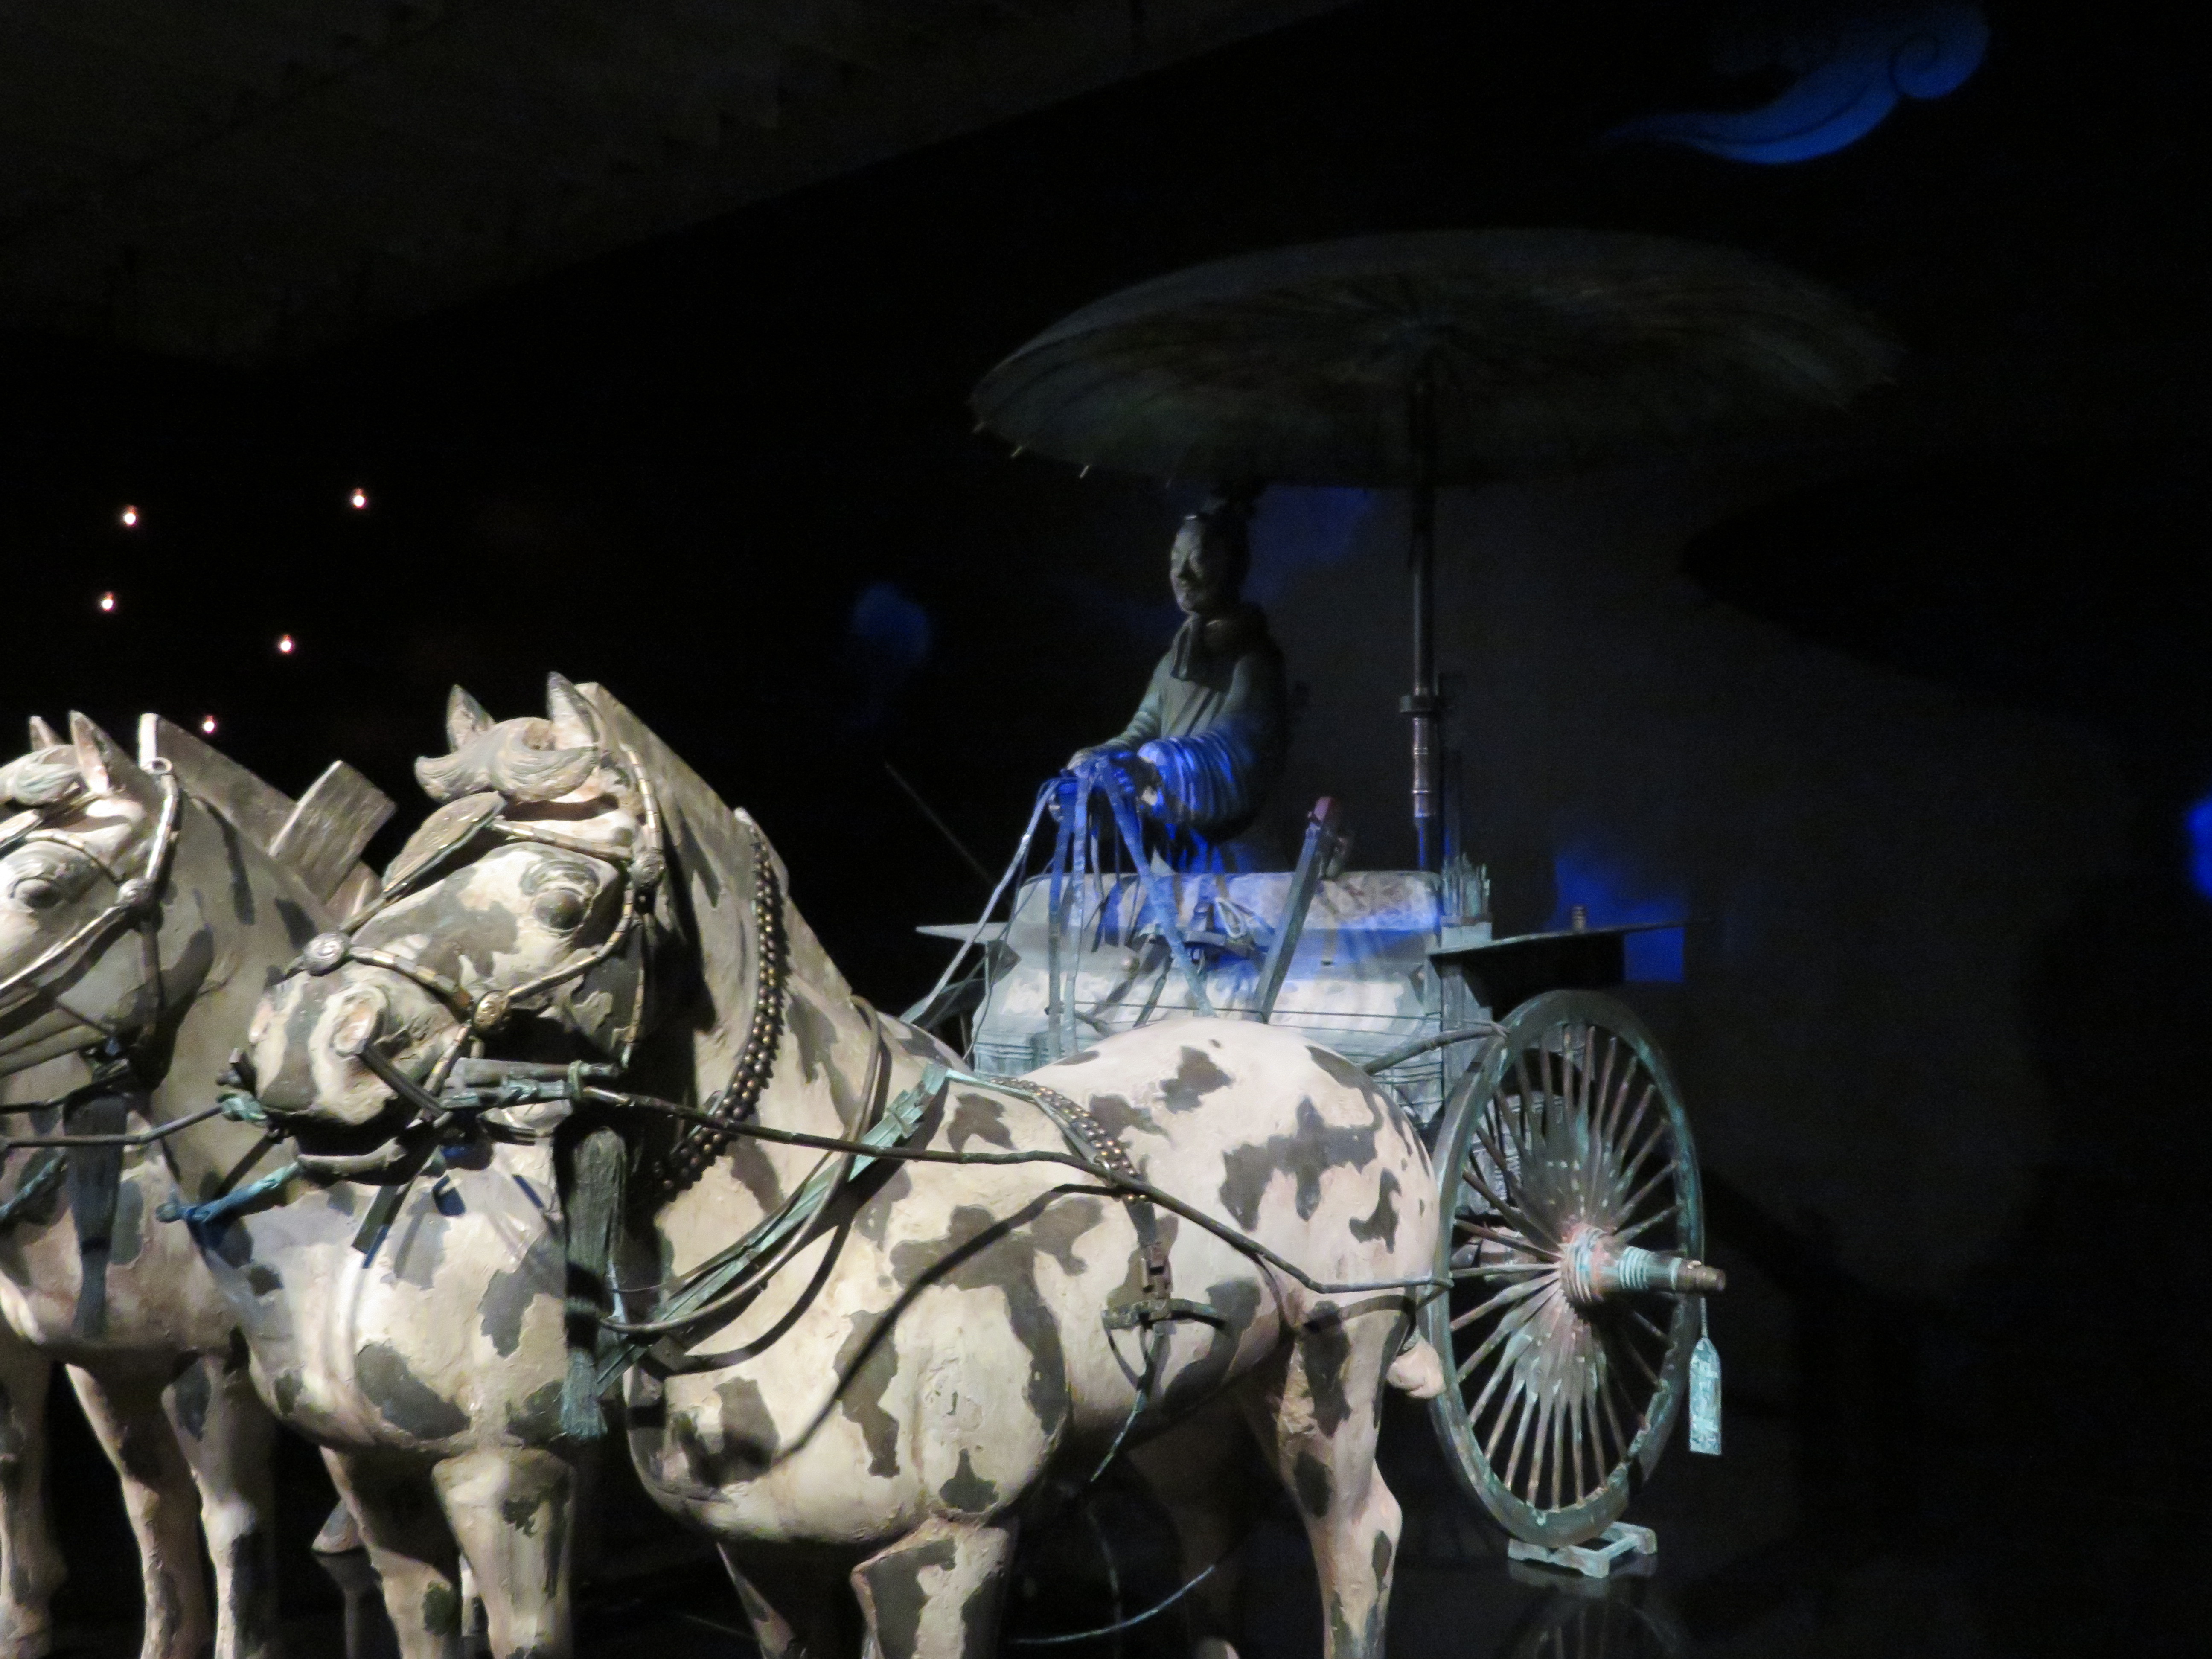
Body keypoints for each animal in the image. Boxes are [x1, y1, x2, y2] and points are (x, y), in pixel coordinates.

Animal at [228, 674, 1446, 1659]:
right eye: (405, 862)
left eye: (567, 902)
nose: (299, 1045)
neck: (837, 1226)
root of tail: (1352, 1075)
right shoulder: (765, 1565)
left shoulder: (944, 1554)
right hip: (1195, 1411)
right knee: (1212, 1541)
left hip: (1333, 1376)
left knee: (1364, 1536)